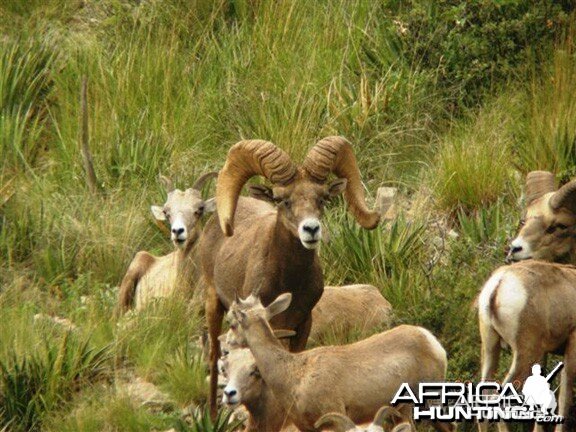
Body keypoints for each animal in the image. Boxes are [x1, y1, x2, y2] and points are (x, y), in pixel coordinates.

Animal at [200, 136, 384, 416]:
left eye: (322, 198)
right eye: (282, 200)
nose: (311, 229)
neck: (289, 282)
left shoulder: (302, 324)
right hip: (213, 303)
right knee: (213, 358)